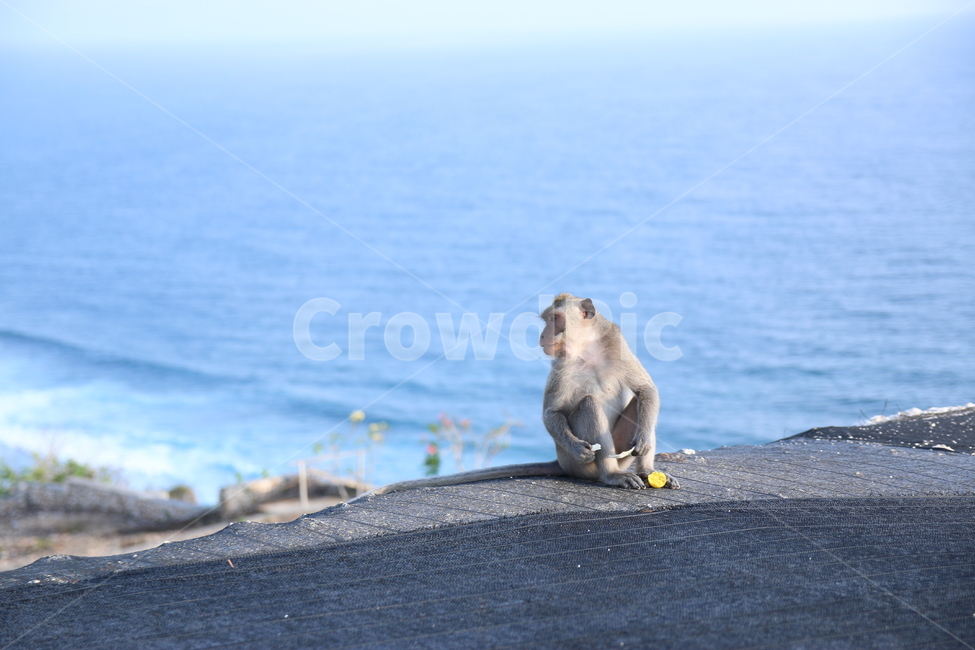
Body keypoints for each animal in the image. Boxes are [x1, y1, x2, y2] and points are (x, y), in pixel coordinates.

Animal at [348, 294, 674, 502]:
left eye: (555, 320)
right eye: (547, 320)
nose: (542, 336)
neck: (587, 348)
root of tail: (560, 461)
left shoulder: (615, 343)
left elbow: (646, 390)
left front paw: (645, 441)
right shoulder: (562, 365)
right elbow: (552, 412)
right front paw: (577, 444)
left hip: (623, 454)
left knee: (637, 405)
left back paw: (645, 471)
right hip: (577, 464)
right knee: (589, 405)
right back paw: (610, 476)